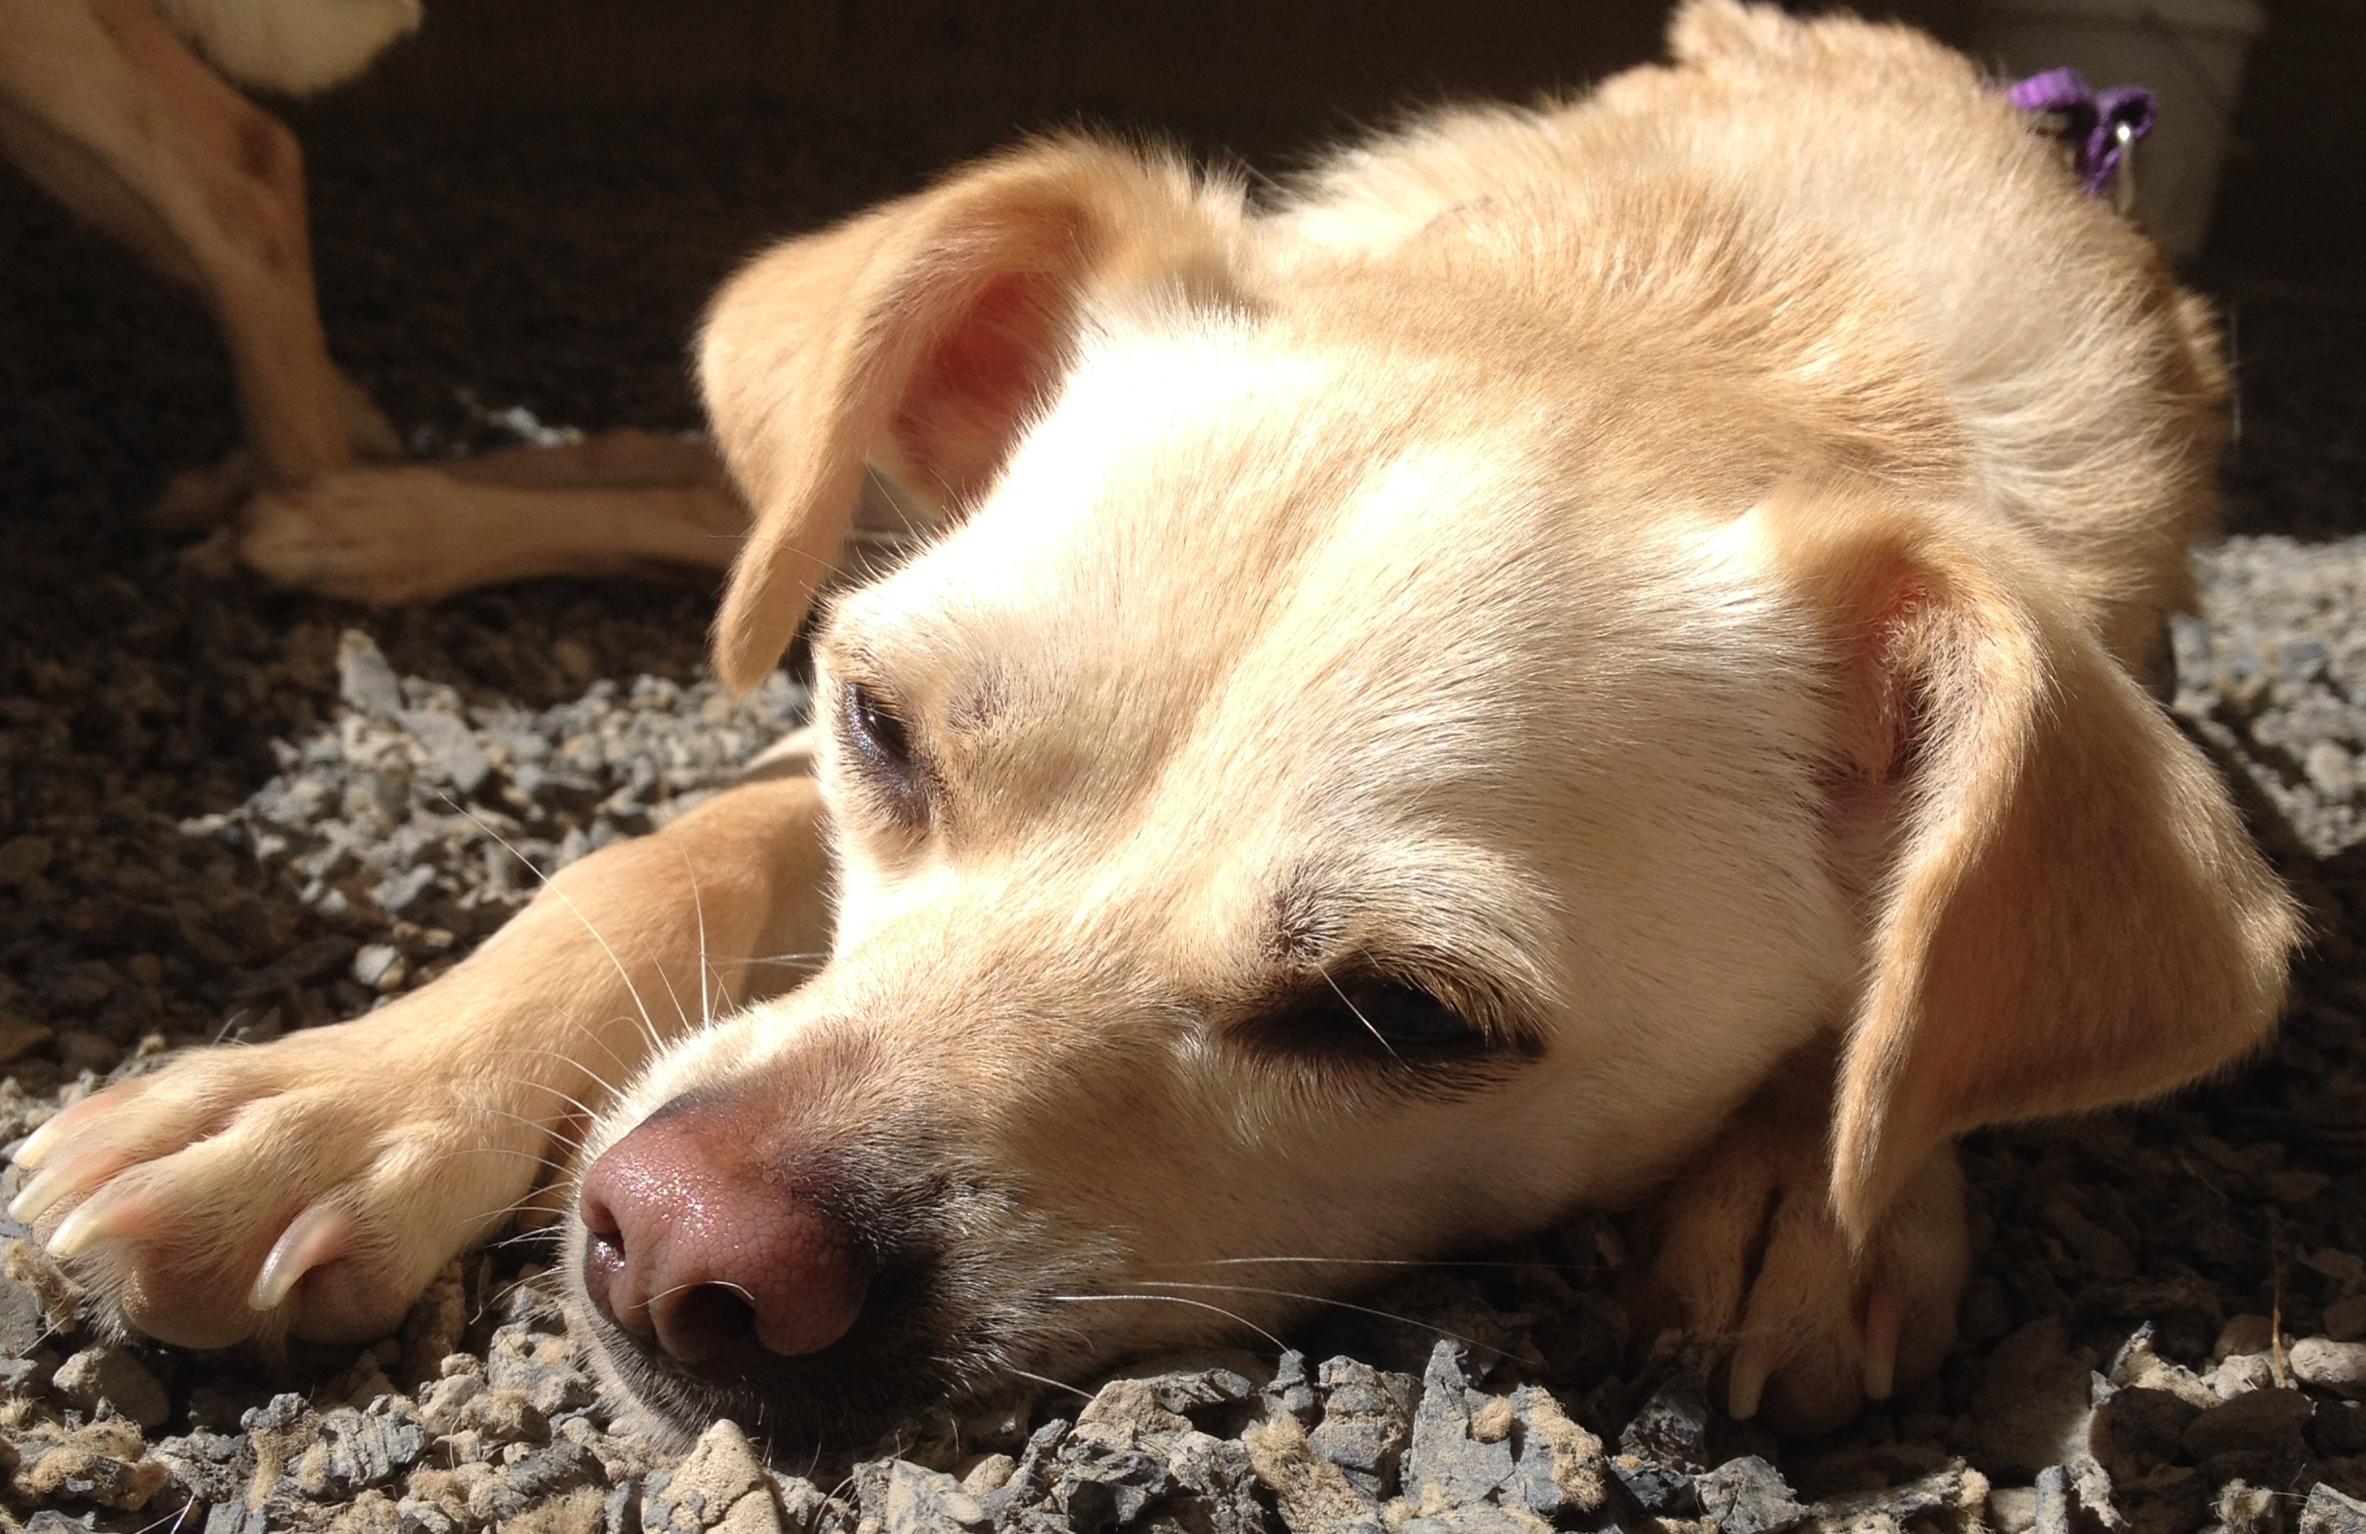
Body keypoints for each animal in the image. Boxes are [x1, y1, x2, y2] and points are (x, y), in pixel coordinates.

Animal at [4, 0, 2290, 1448]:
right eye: (880, 730)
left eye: (1398, 1017)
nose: (676, 1250)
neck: (1695, 299)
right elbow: (668, 846)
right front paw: (331, 1096)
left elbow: (1919, 1022)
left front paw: (1818, 1197)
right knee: (726, 484)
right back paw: (364, 506)